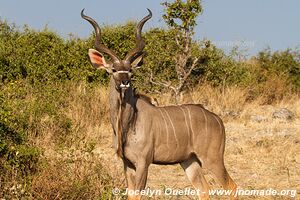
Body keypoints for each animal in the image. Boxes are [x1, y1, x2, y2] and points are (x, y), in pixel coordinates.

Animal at [81, 8, 238, 199]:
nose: (125, 82)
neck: (127, 124)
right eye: (113, 69)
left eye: (130, 70)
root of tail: (217, 119)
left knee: (231, 186)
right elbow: (131, 194)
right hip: (189, 161)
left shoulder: (143, 162)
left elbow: (138, 194)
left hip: (212, 159)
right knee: (204, 189)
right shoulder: (127, 164)